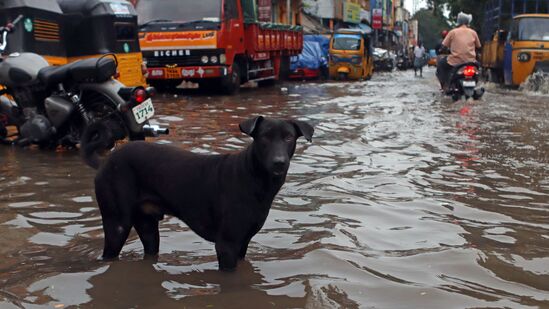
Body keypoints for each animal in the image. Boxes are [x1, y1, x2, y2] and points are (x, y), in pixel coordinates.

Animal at [81, 115, 312, 270]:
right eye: (264, 138)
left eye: (289, 138)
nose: (279, 162)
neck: (254, 179)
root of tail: (105, 162)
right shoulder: (227, 245)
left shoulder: (243, 244)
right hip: (117, 225)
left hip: (147, 227)